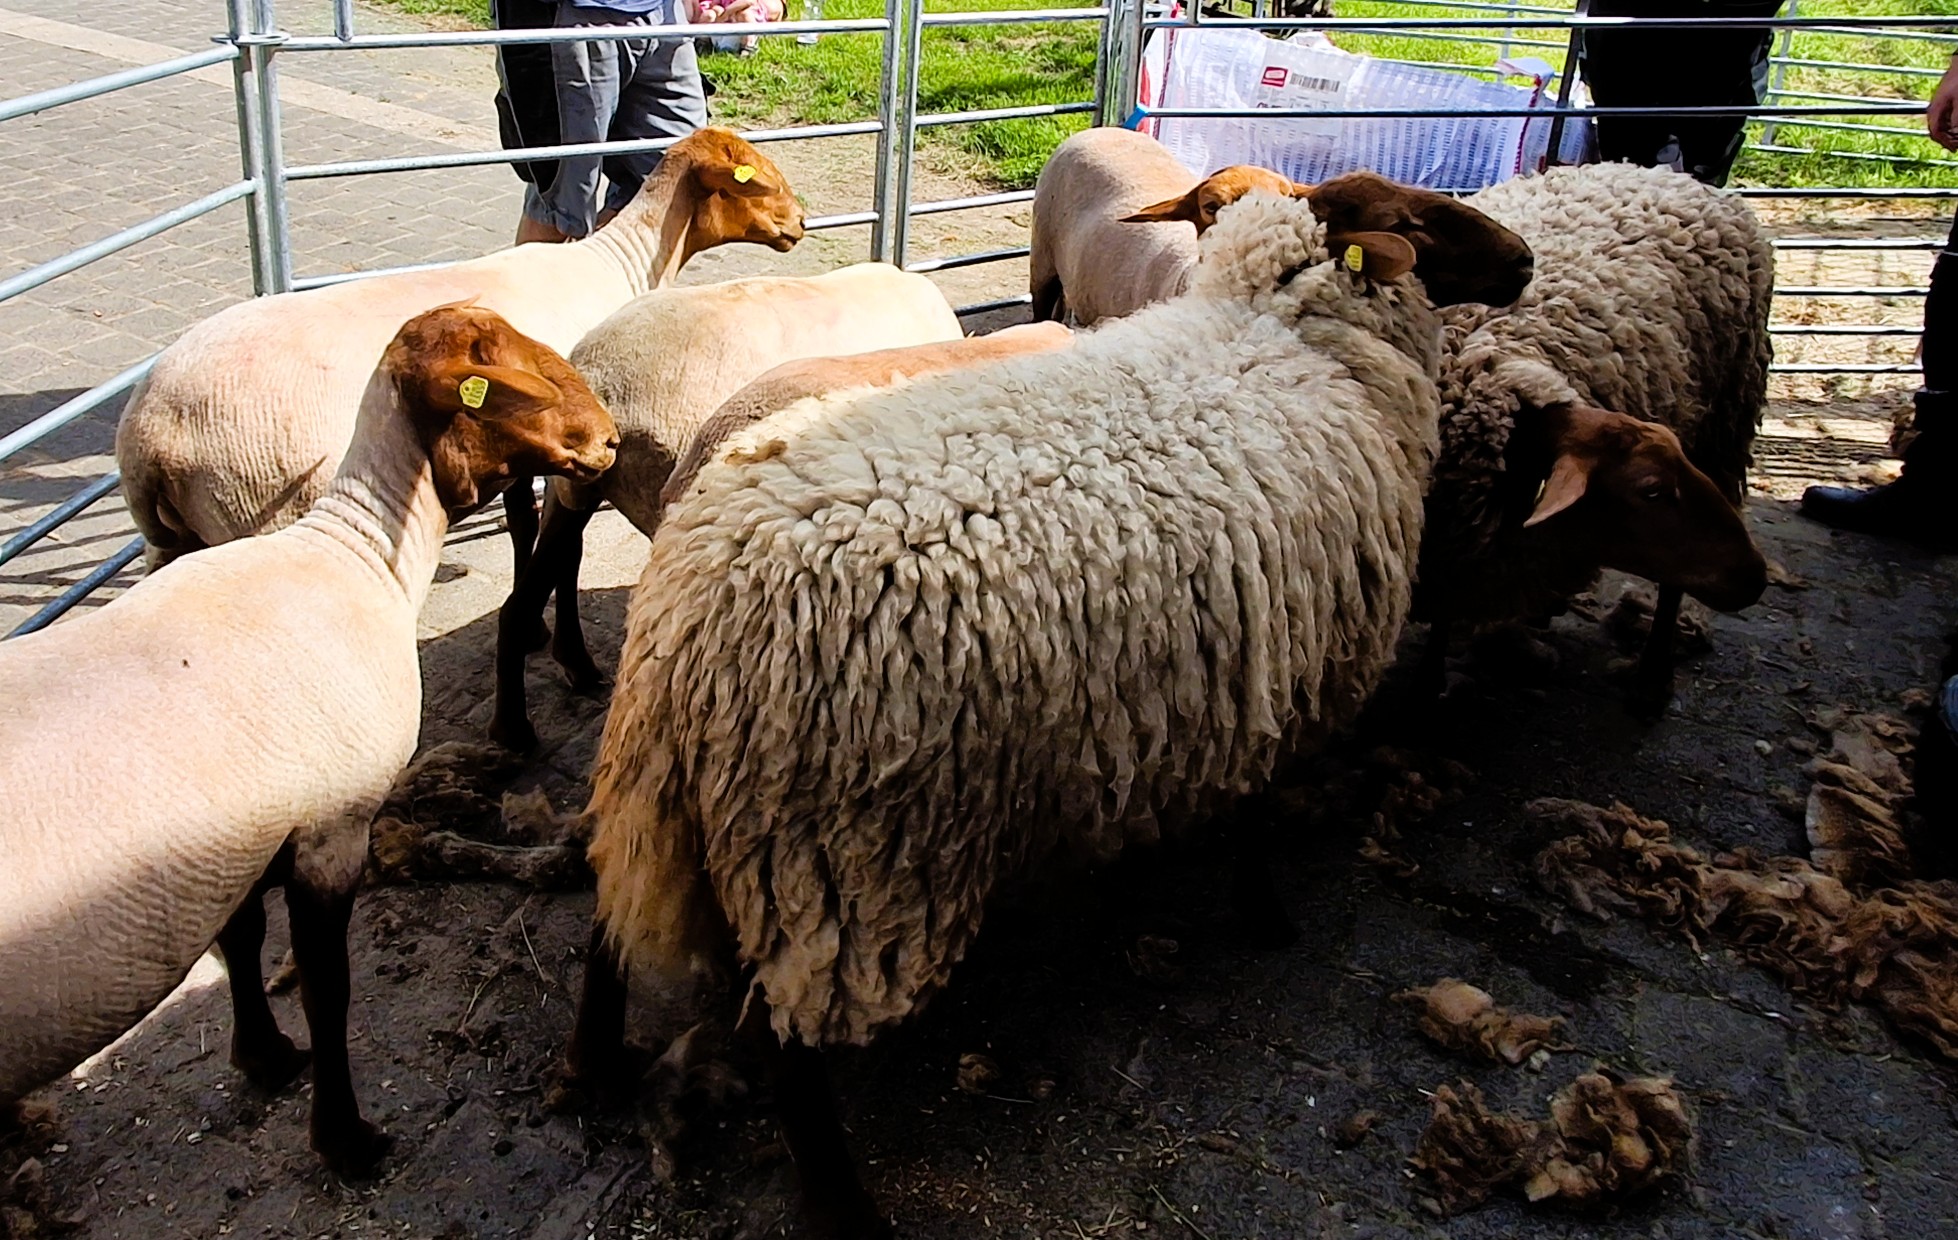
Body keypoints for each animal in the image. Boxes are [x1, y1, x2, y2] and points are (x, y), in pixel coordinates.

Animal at [0, 306, 617, 1177]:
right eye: (505, 375)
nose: (608, 438)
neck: (354, 554)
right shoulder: (331, 823)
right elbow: (330, 988)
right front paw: (345, 1137)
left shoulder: (237, 840)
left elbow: (243, 938)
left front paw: (263, 1056)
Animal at [116, 127, 801, 571]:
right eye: (760, 183)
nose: (799, 223)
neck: (619, 264)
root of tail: (148, 439)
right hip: (260, 503)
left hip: (174, 535)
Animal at [576, 177, 1534, 1235]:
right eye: (1420, 222)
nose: (1524, 260)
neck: (1284, 331)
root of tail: (692, 622)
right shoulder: (1282, 673)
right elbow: (1254, 819)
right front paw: (1265, 915)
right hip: (838, 854)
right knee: (788, 1042)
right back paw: (843, 1206)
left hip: (673, 796)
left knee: (606, 916)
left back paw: (593, 1072)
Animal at [1412, 161, 1775, 709]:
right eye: (1651, 491)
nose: (1755, 575)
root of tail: (1671, 174)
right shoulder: (1456, 553)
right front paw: (1435, 674)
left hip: (1723, 427)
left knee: (1672, 586)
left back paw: (1652, 674)